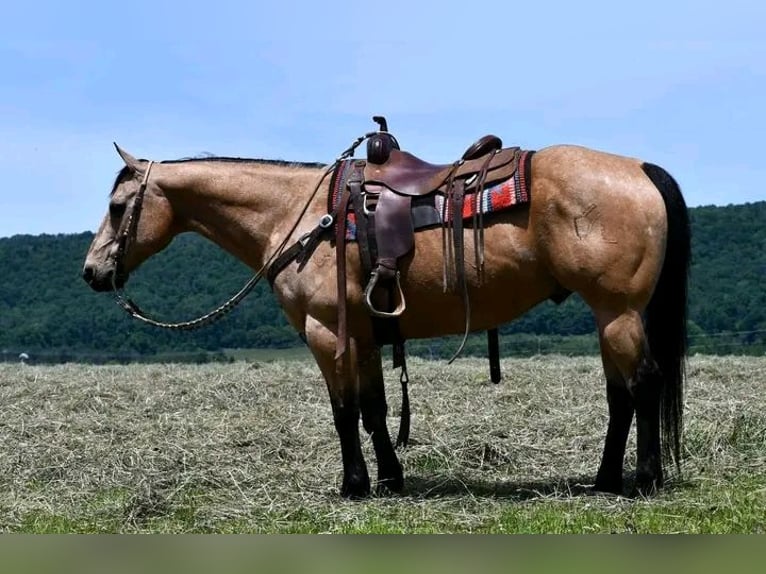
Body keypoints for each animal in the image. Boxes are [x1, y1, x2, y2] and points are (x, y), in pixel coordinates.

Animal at [82, 117, 688, 500]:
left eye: (117, 206)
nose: (92, 272)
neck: (299, 217)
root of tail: (640, 168)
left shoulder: (328, 333)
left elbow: (344, 411)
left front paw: (353, 485)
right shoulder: (366, 333)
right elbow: (374, 409)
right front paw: (390, 479)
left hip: (618, 312)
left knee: (645, 383)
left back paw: (645, 480)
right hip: (609, 316)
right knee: (620, 395)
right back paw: (605, 479)